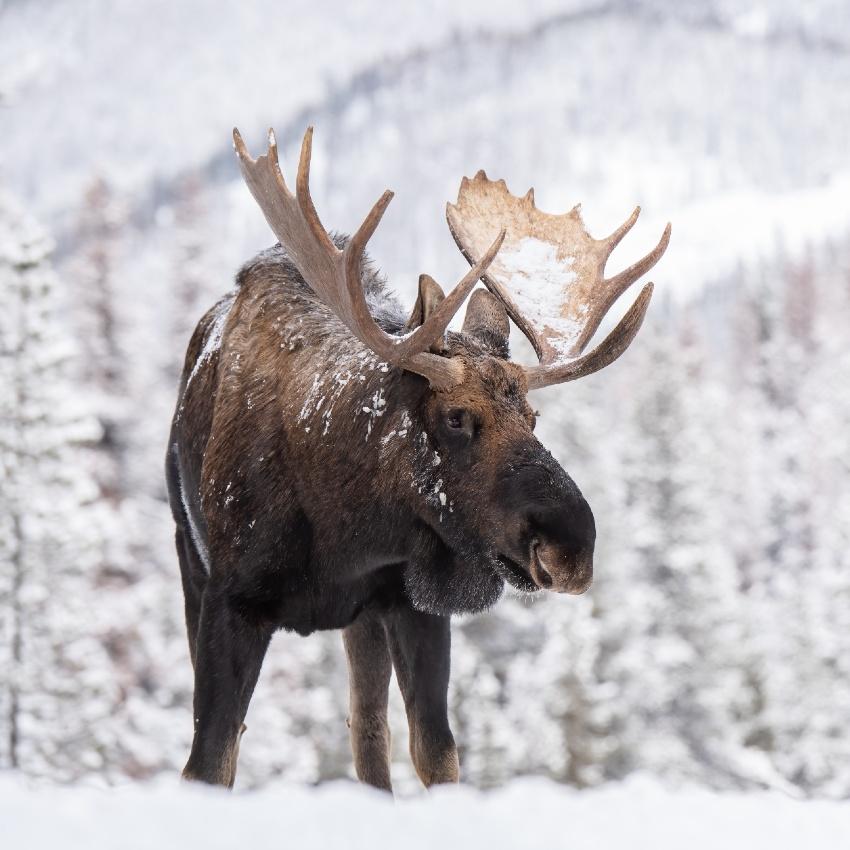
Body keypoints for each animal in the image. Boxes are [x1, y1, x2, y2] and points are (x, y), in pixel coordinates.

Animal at [166, 126, 668, 788]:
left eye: (533, 418)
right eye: (456, 417)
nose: (572, 546)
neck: (343, 530)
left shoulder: (412, 605)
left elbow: (437, 752)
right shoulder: (230, 600)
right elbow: (208, 762)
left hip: (362, 622)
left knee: (368, 737)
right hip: (189, 557)